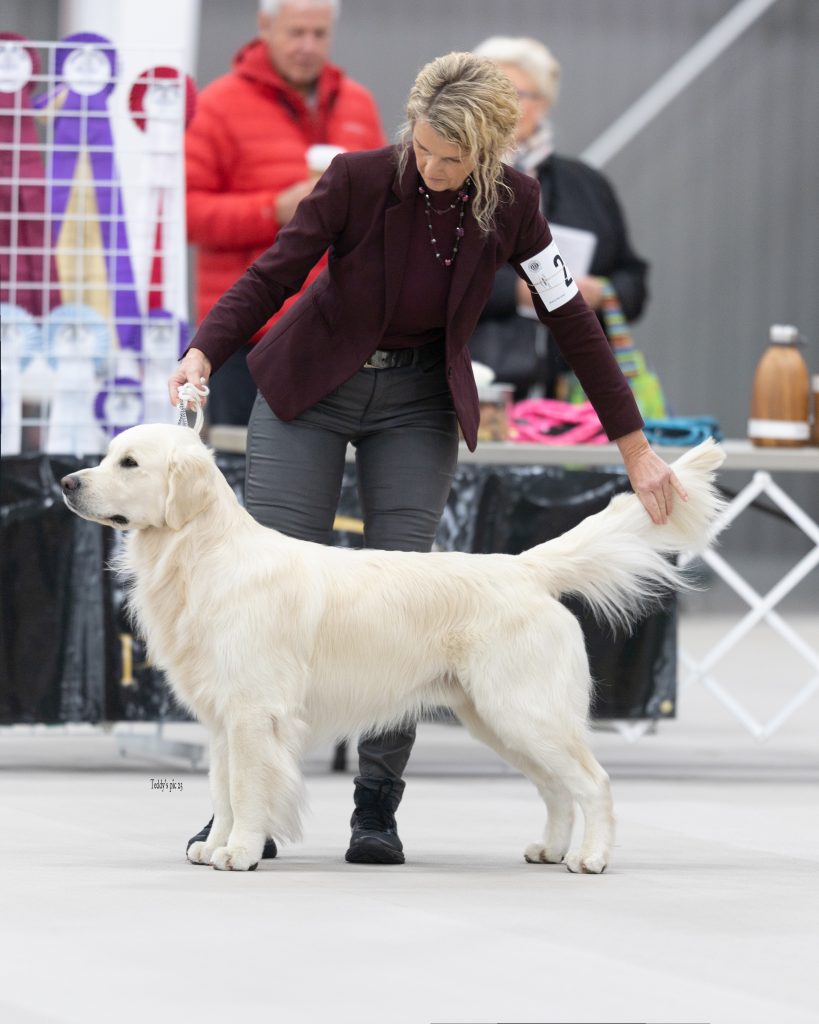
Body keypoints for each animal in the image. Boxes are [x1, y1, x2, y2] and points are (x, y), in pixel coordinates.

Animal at [61, 424, 725, 873]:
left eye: (129, 462)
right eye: (107, 455)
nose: (66, 481)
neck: (203, 555)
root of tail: (524, 568)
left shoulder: (254, 713)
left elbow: (249, 790)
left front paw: (242, 851)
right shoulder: (225, 719)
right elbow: (223, 789)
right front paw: (216, 844)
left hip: (525, 710)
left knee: (594, 783)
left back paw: (591, 857)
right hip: (495, 718)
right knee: (558, 788)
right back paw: (549, 849)